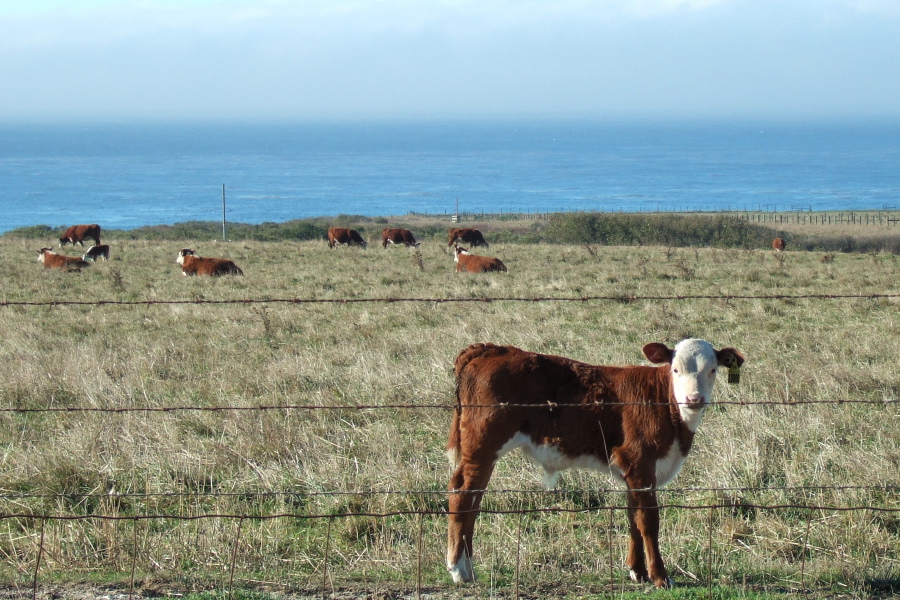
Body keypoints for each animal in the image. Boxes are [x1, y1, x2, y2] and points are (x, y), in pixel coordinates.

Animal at [446, 339, 745, 588]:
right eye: (675, 369)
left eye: (713, 370)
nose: (694, 399)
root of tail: (490, 349)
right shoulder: (641, 462)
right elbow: (649, 520)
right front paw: (660, 576)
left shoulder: (633, 471)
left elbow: (633, 516)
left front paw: (637, 571)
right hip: (482, 446)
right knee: (462, 493)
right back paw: (458, 570)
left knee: (474, 500)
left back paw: (467, 567)